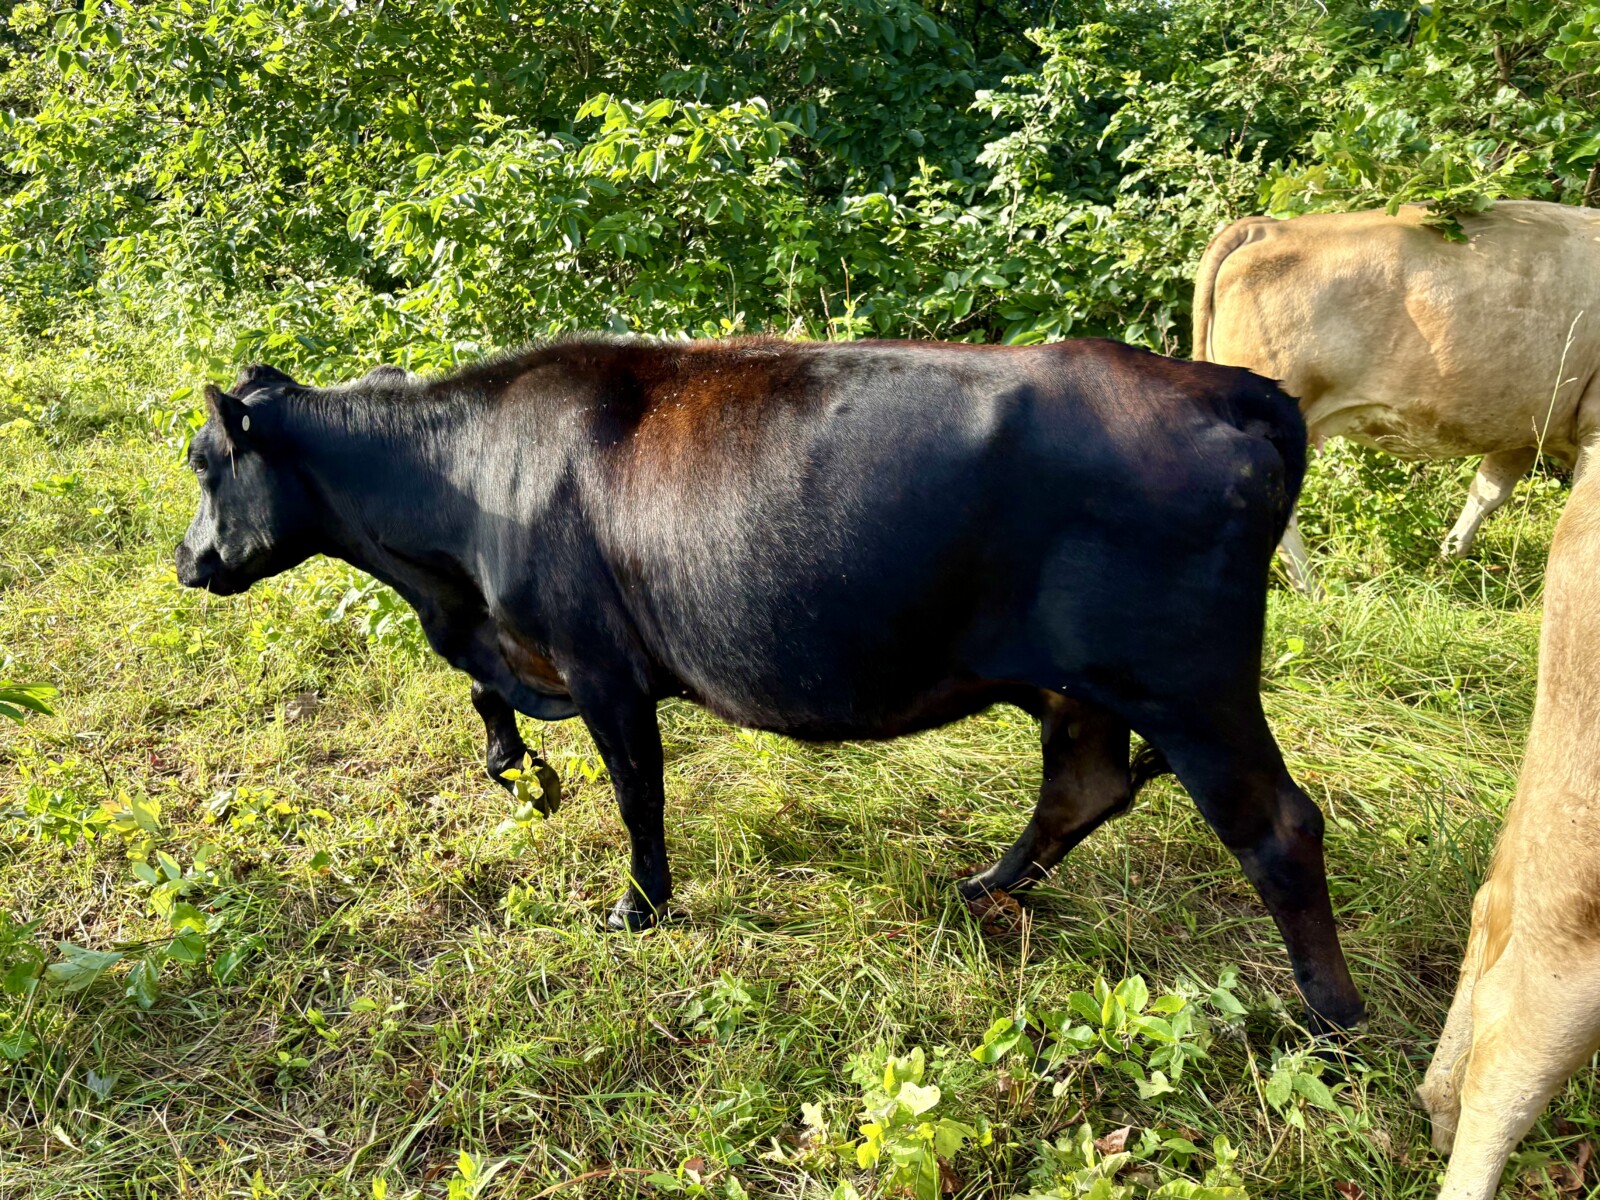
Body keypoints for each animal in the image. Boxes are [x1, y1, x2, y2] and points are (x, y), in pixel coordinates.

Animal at [174, 335, 1365, 1031]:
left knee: (1277, 828)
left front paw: (638, 905)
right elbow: (486, 702)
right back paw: (983, 887)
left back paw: (1330, 1019)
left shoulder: (601, 663)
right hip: (1087, 686)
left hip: (1187, 682)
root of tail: (1234, 388)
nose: (187, 561)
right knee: (1084, 786)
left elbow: (637, 791)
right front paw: (519, 770)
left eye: (203, 462)